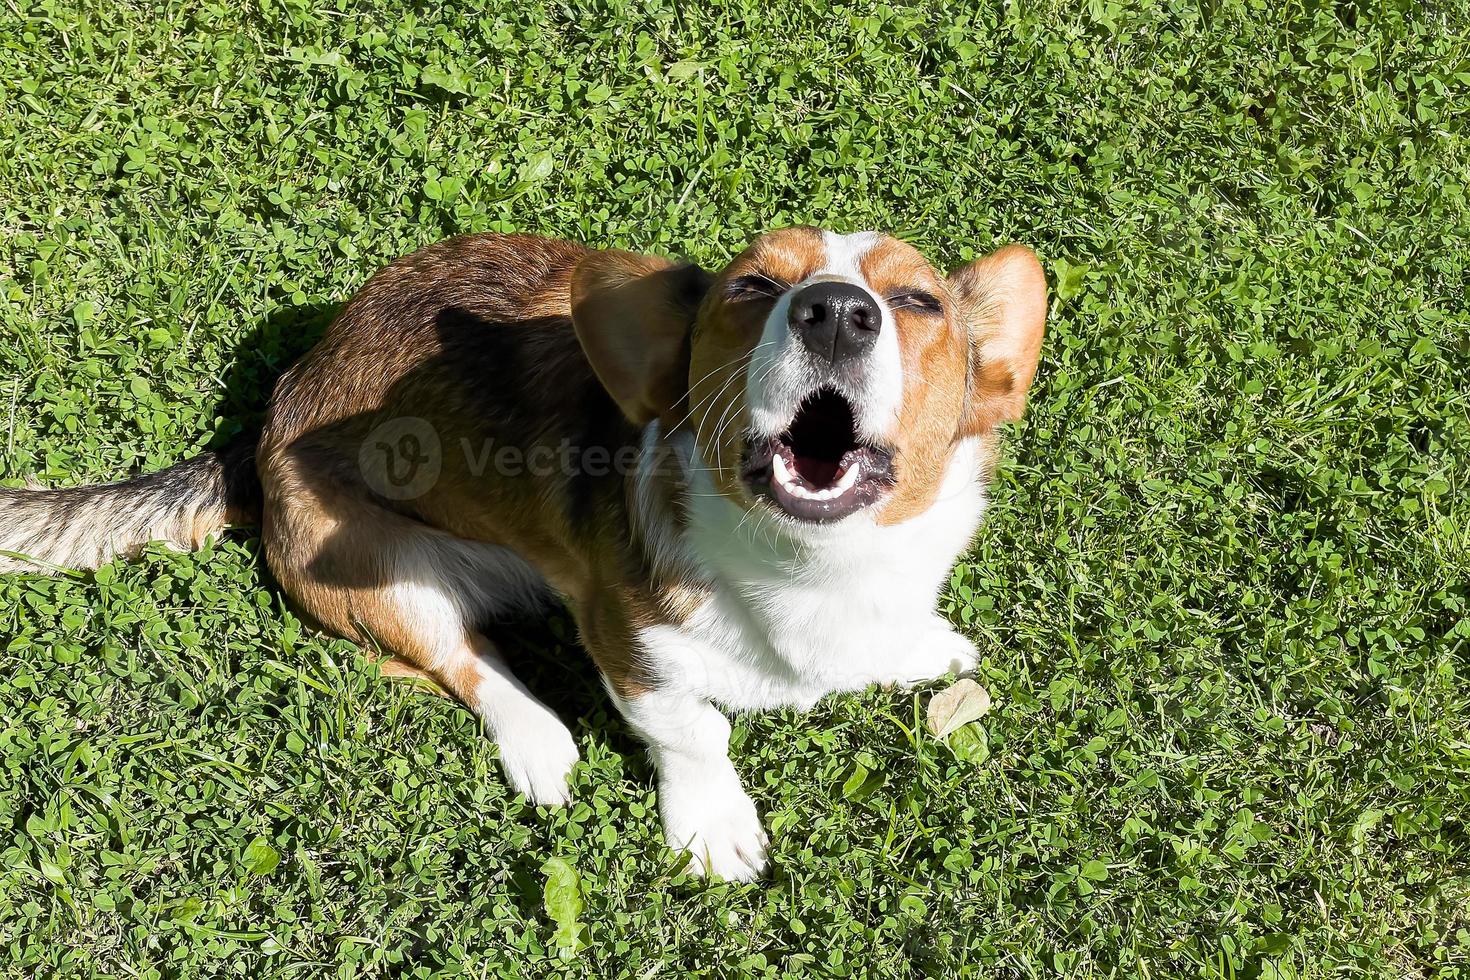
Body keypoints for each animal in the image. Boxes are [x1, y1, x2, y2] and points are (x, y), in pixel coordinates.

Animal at [0, 227, 1046, 881]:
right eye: (752, 288)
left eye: (916, 301)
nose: (833, 310)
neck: (807, 567)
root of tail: (264, 423)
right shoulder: (630, 649)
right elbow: (694, 733)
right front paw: (713, 828)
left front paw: (920, 649)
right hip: (382, 575)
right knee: (453, 659)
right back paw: (539, 740)